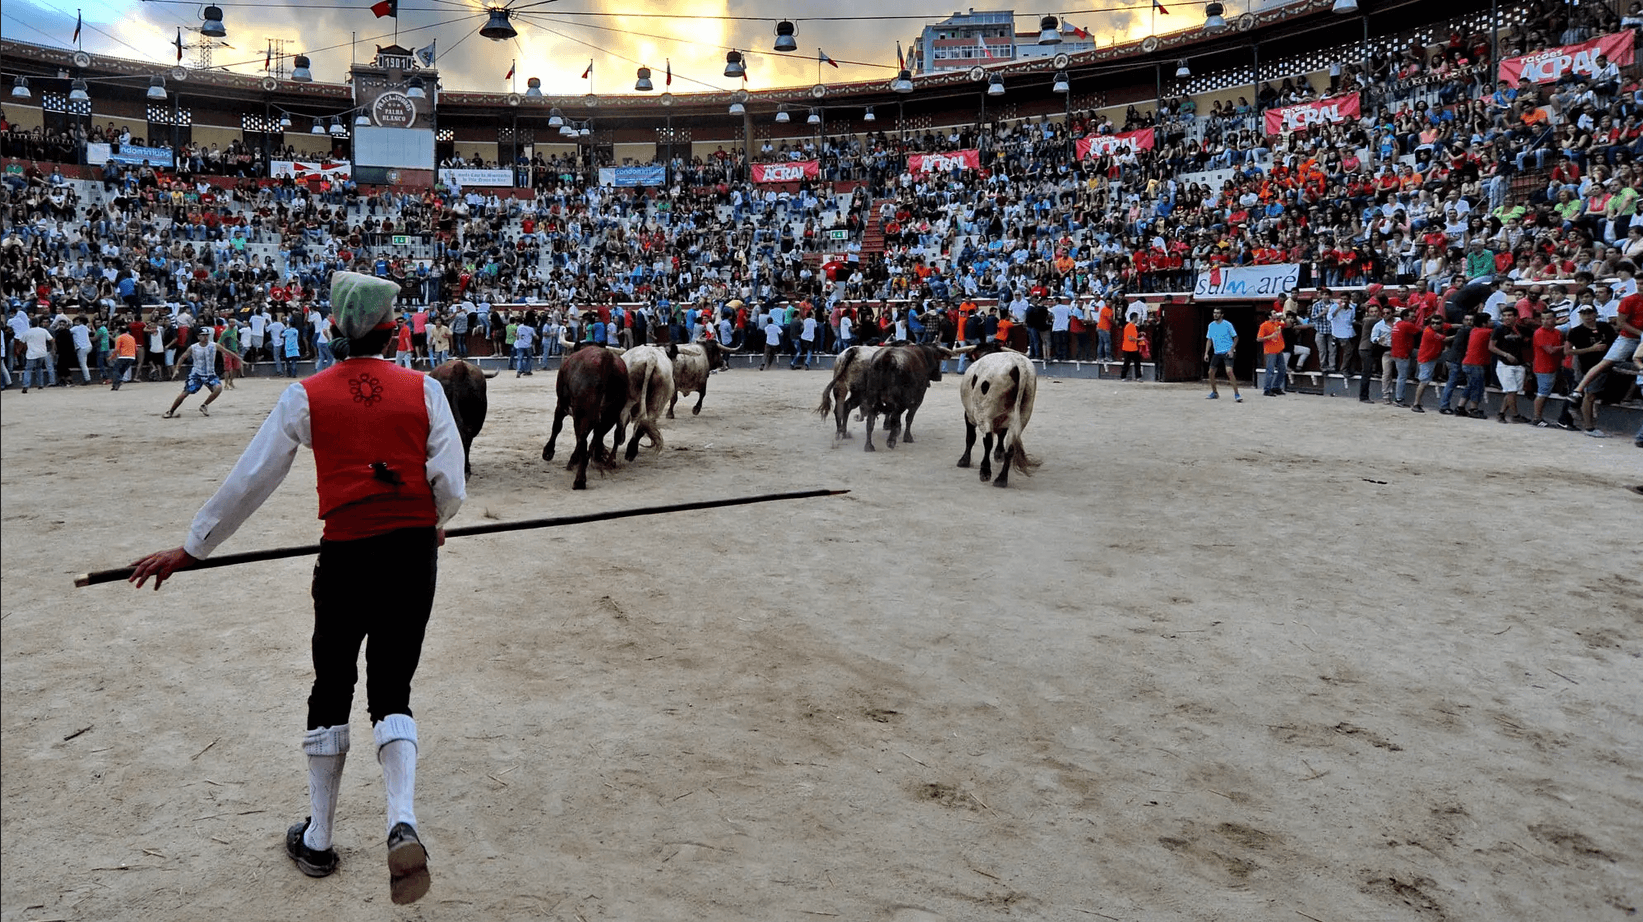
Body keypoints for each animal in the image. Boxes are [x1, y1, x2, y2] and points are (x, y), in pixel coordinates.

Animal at [548, 345, 630, 489]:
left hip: (583, 414)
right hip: (610, 415)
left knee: (583, 440)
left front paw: (548, 452)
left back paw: (579, 479)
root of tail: (606, 358)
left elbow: (557, 426)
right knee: (595, 438)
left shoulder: (561, 404)